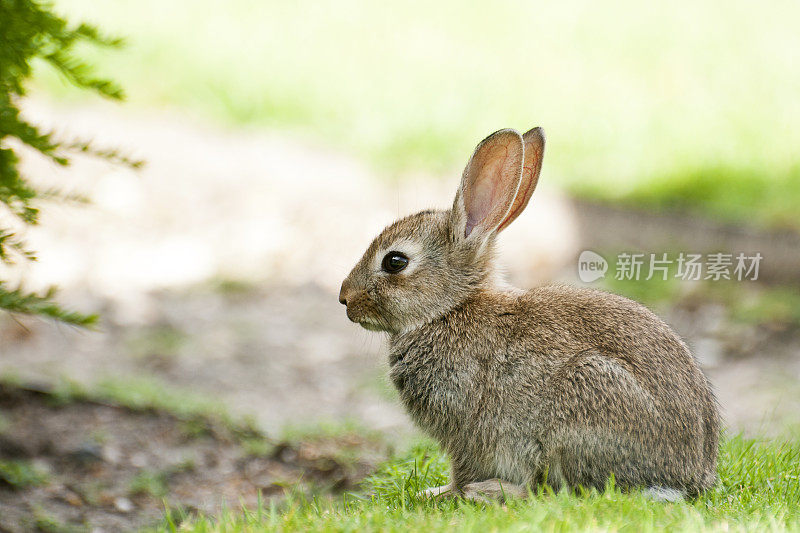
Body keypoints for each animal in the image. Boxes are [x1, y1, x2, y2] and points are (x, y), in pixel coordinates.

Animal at [338, 127, 720, 500]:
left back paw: (491, 491)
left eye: (395, 261)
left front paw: (440, 493)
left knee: (559, 490)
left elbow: (461, 468)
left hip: (577, 410)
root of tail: (690, 476)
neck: (449, 309)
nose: (344, 298)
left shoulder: (464, 428)